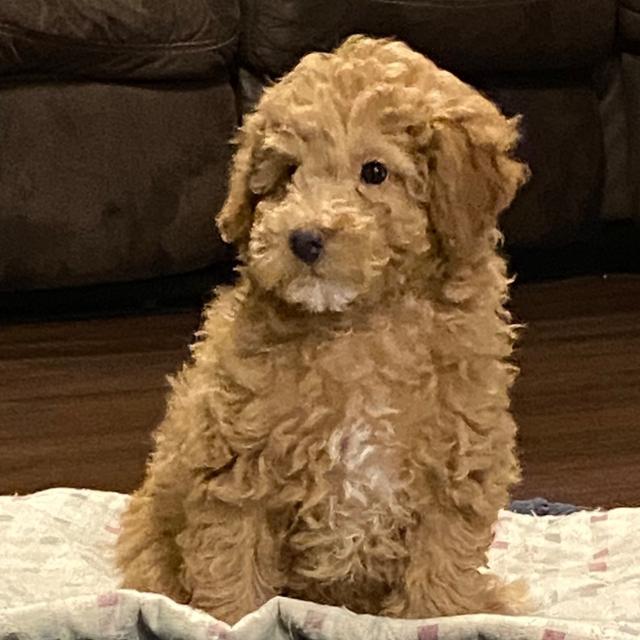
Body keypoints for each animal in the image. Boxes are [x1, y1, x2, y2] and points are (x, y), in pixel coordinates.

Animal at [116, 35, 528, 624]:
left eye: (375, 172)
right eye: (288, 173)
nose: (303, 238)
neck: (357, 327)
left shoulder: (453, 474)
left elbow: (437, 583)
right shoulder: (236, 469)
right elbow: (232, 572)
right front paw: (232, 622)